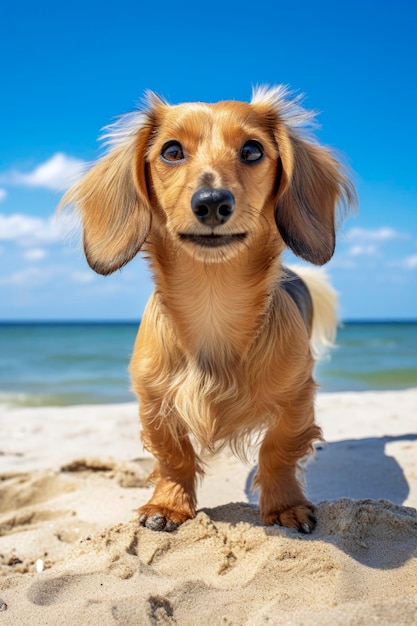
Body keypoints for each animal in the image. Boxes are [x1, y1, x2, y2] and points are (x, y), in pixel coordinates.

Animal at [61, 83, 354, 532]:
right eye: (171, 151)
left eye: (252, 150)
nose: (213, 202)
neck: (213, 303)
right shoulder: (154, 401)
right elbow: (173, 455)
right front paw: (168, 505)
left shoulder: (297, 397)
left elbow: (279, 449)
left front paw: (285, 505)